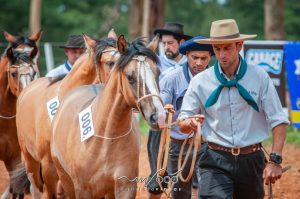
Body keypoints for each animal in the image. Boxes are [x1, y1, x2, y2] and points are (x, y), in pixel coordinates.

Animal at [50, 35, 165, 199]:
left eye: (157, 73)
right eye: (130, 77)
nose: (159, 116)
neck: (107, 138)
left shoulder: (125, 187)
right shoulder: (82, 190)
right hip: (65, 178)